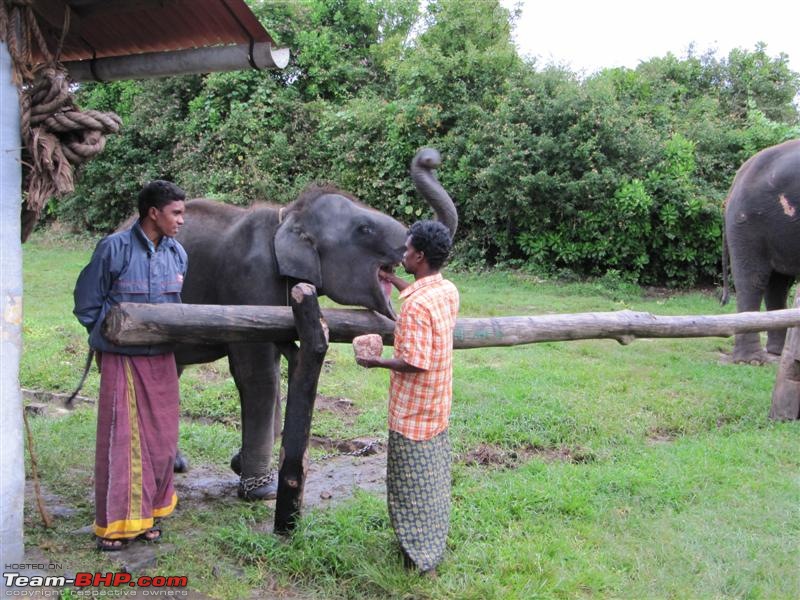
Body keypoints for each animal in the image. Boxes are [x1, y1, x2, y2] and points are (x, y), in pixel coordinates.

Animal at [173, 148, 456, 500]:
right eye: (364, 229)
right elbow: (257, 374)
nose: (430, 158)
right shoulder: (247, 283)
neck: (289, 216)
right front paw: (262, 490)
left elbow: (275, 364)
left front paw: (242, 466)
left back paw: (177, 465)